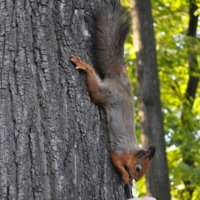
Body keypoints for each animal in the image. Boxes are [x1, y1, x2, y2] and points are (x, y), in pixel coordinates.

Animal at [70, 3, 156, 184]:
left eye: (145, 170)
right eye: (138, 168)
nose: (137, 180)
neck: (131, 150)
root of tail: (118, 82)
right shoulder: (119, 152)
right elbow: (115, 161)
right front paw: (125, 175)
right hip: (103, 94)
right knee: (93, 80)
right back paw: (84, 66)